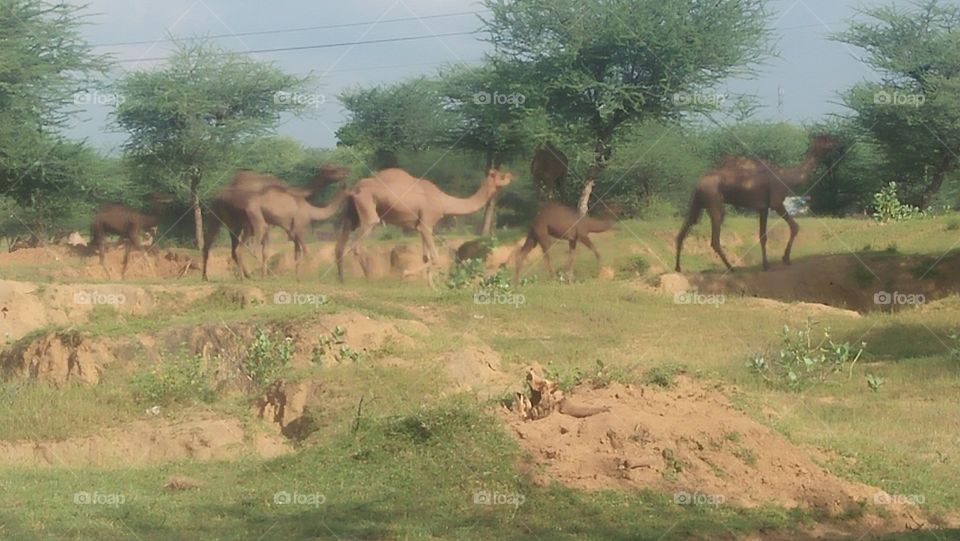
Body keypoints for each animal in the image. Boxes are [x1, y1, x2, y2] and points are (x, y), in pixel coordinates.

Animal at [202, 165, 348, 281]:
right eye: (332, 169)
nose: (345, 171)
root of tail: (219, 195)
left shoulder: (288, 229)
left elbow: (292, 252)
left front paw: (297, 278)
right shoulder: (287, 226)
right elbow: (302, 252)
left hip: (225, 221)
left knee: (219, 246)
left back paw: (211, 276)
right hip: (241, 221)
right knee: (243, 248)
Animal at [335, 168, 514, 288]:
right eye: (502, 176)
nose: (512, 176)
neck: (443, 202)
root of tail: (354, 188)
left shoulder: (420, 225)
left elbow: (425, 257)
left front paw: (432, 287)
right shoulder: (427, 223)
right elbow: (434, 257)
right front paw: (406, 274)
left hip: (352, 214)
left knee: (341, 244)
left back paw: (342, 279)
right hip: (367, 208)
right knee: (358, 243)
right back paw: (369, 279)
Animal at [675, 134, 839, 272]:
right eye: (827, 139)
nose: (837, 142)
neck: (786, 177)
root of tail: (699, 182)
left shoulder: (763, 208)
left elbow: (763, 236)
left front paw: (766, 264)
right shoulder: (776, 203)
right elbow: (794, 226)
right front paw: (785, 259)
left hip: (697, 202)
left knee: (686, 227)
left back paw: (678, 267)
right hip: (713, 199)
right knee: (715, 234)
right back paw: (731, 268)